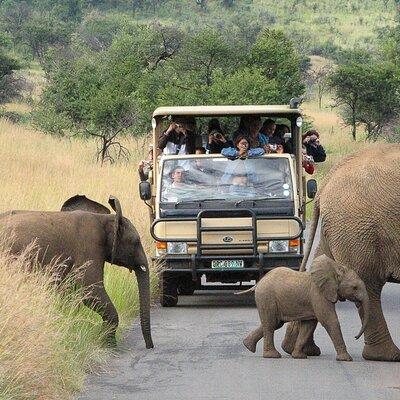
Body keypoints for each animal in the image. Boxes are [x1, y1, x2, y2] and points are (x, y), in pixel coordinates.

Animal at [0, 195, 153, 348]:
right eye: (136, 241)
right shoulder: (90, 245)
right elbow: (89, 288)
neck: (106, 219)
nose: (149, 346)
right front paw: (110, 345)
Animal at [239, 256, 370, 362]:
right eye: (355, 287)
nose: (355, 337)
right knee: (271, 324)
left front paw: (299, 356)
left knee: (275, 323)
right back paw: (272, 356)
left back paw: (247, 345)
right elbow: (329, 320)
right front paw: (346, 359)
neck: (335, 268)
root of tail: (259, 282)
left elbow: (309, 325)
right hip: (267, 297)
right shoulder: (318, 293)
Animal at [282, 145, 400, 362]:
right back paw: (387, 356)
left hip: (341, 226)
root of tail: (329, 178)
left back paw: (298, 349)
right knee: (369, 283)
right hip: (358, 228)